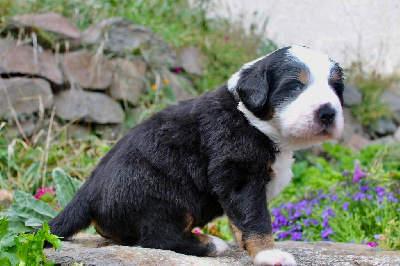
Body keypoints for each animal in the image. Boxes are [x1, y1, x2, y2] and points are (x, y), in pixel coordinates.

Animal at [44, 45, 344, 266]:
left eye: (335, 88)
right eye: (295, 86)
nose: (328, 113)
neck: (252, 119)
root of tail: (88, 190)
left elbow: (240, 222)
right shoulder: (239, 174)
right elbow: (255, 219)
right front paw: (269, 254)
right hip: (162, 194)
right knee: (157, 237)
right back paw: (211, 244)